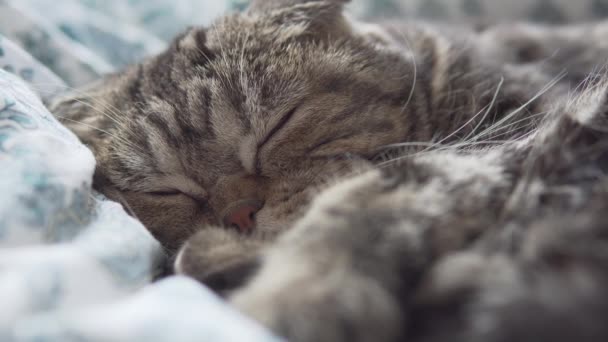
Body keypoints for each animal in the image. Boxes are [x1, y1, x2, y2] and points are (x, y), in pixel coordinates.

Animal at [48, 0, 608, 342]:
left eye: (277, 127)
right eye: (168, 191)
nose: (240, 214)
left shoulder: (516, 140)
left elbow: (352, 213)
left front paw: (290, 296)